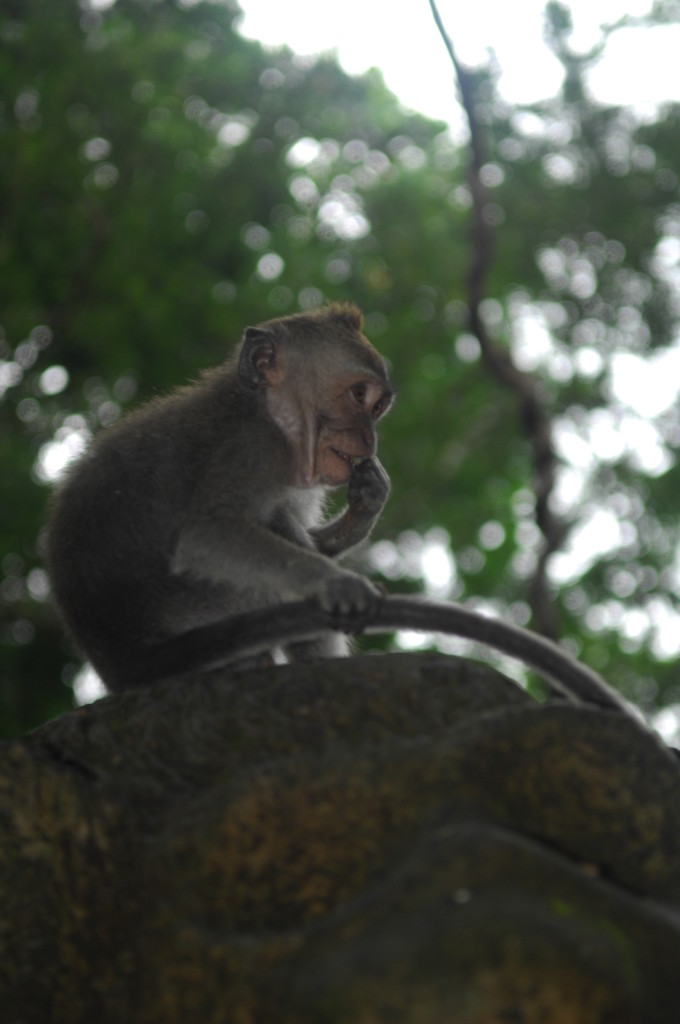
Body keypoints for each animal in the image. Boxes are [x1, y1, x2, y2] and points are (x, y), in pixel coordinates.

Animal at [46, 303, 395, 692]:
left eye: (377, 407)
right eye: (358, 394)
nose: (369, 440)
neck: (265, 412)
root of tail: (128, 666)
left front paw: (368, 501)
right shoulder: (251, 447)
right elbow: (207, 536)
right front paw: (335, 582)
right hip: (201, 605)